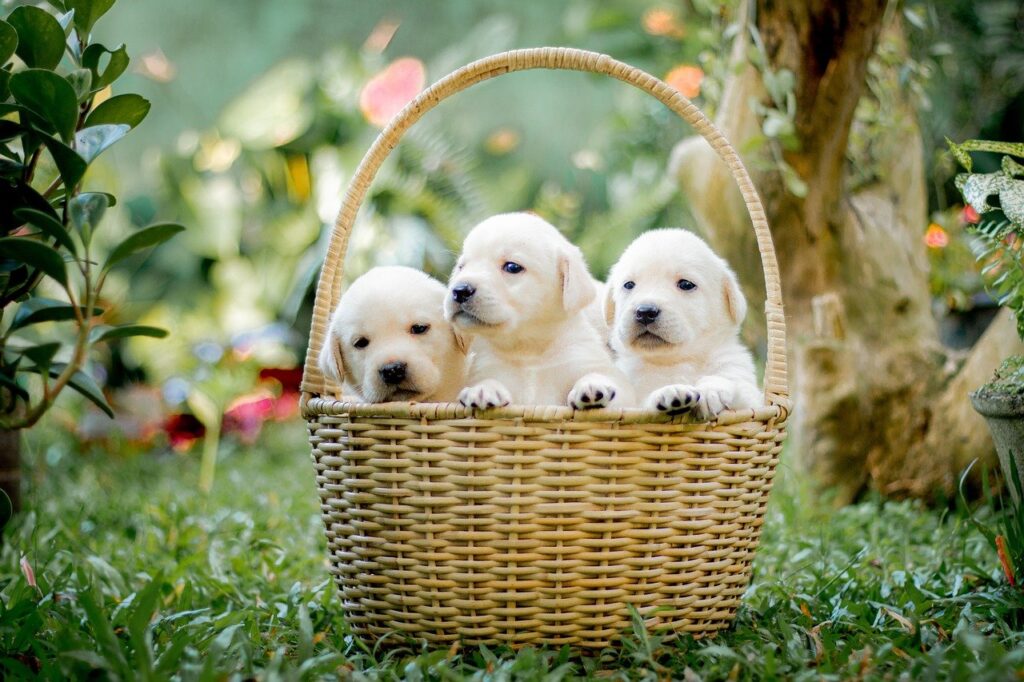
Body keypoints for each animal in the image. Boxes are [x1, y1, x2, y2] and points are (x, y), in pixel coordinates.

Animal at [448, 210, 630, 409]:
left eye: (512, 267)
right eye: (462, 267)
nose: (460, 290)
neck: (529, 350)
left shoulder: (584, 360)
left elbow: (603, 380)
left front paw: (592, 384)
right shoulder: (487, 368)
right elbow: (487, 380)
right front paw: (482, 389)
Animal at [602, 231, 765, 417]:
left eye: (686, 284)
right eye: (629, 285)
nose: (645, 312)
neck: (674, 362)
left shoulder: (744, 385)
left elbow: (734, 386)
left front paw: (711, 390)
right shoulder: (630, 399)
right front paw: (671, 391)